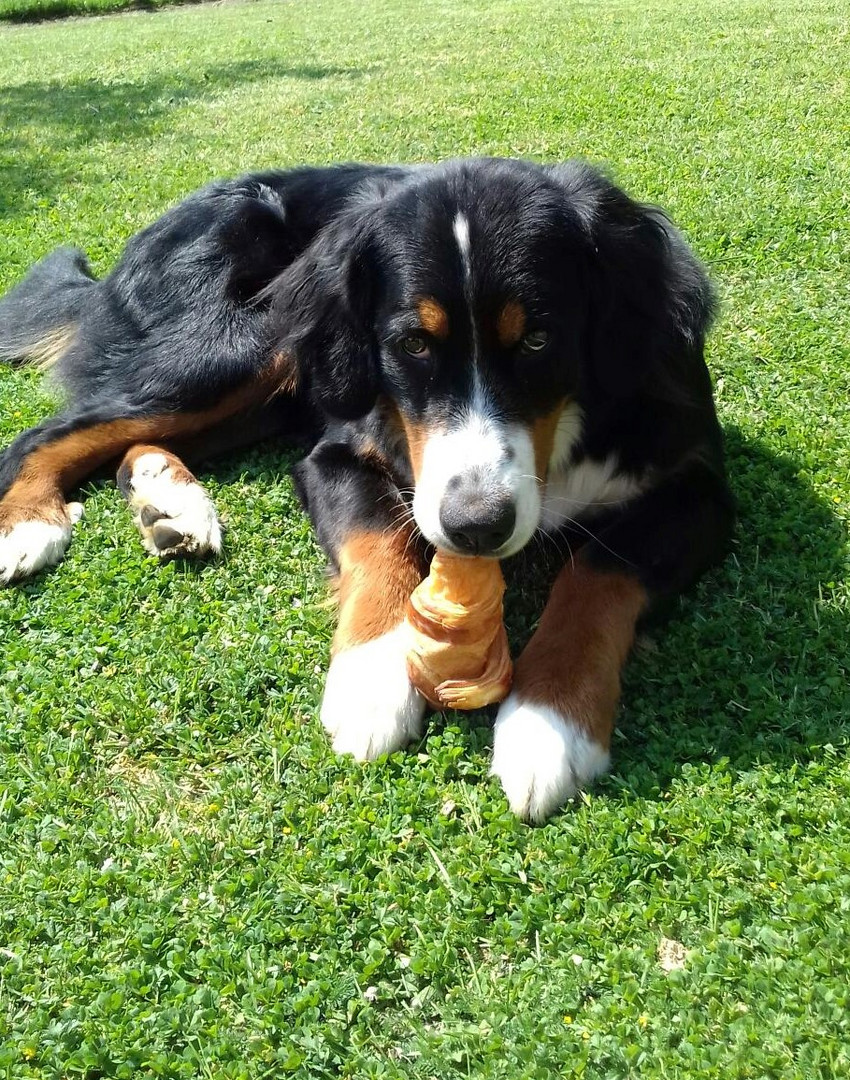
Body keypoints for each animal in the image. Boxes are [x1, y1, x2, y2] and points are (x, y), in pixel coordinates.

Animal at [0, 156, 730, 816]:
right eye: (412, 345)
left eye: (538, 341)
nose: (476, 525)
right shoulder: (336, 453)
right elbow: (381, 541)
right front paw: (373, 677)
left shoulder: (698, 483)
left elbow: (597, 572)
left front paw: (549, 723)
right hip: (251, 343)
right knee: (51, 432)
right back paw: (29, 523)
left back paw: (167, 501)